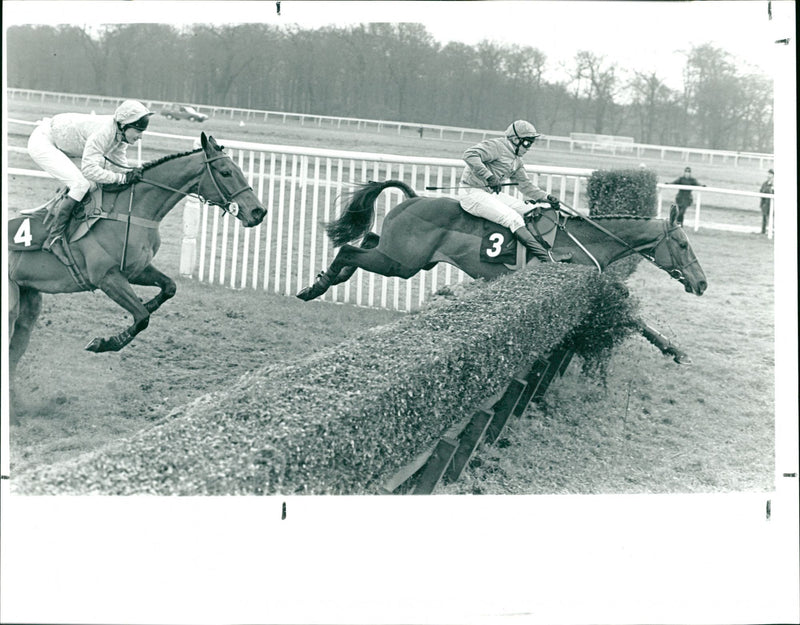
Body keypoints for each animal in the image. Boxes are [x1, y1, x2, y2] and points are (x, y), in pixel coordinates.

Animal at [7, 134, 268, 422]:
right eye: (225, 172)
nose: (258, 212)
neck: (131, 211)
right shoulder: (107, 278)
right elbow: (142, 318)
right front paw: (106, 342)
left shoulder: (137, 270)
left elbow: (168, 289)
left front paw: (144, 308)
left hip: (28, 300)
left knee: (15, 348)